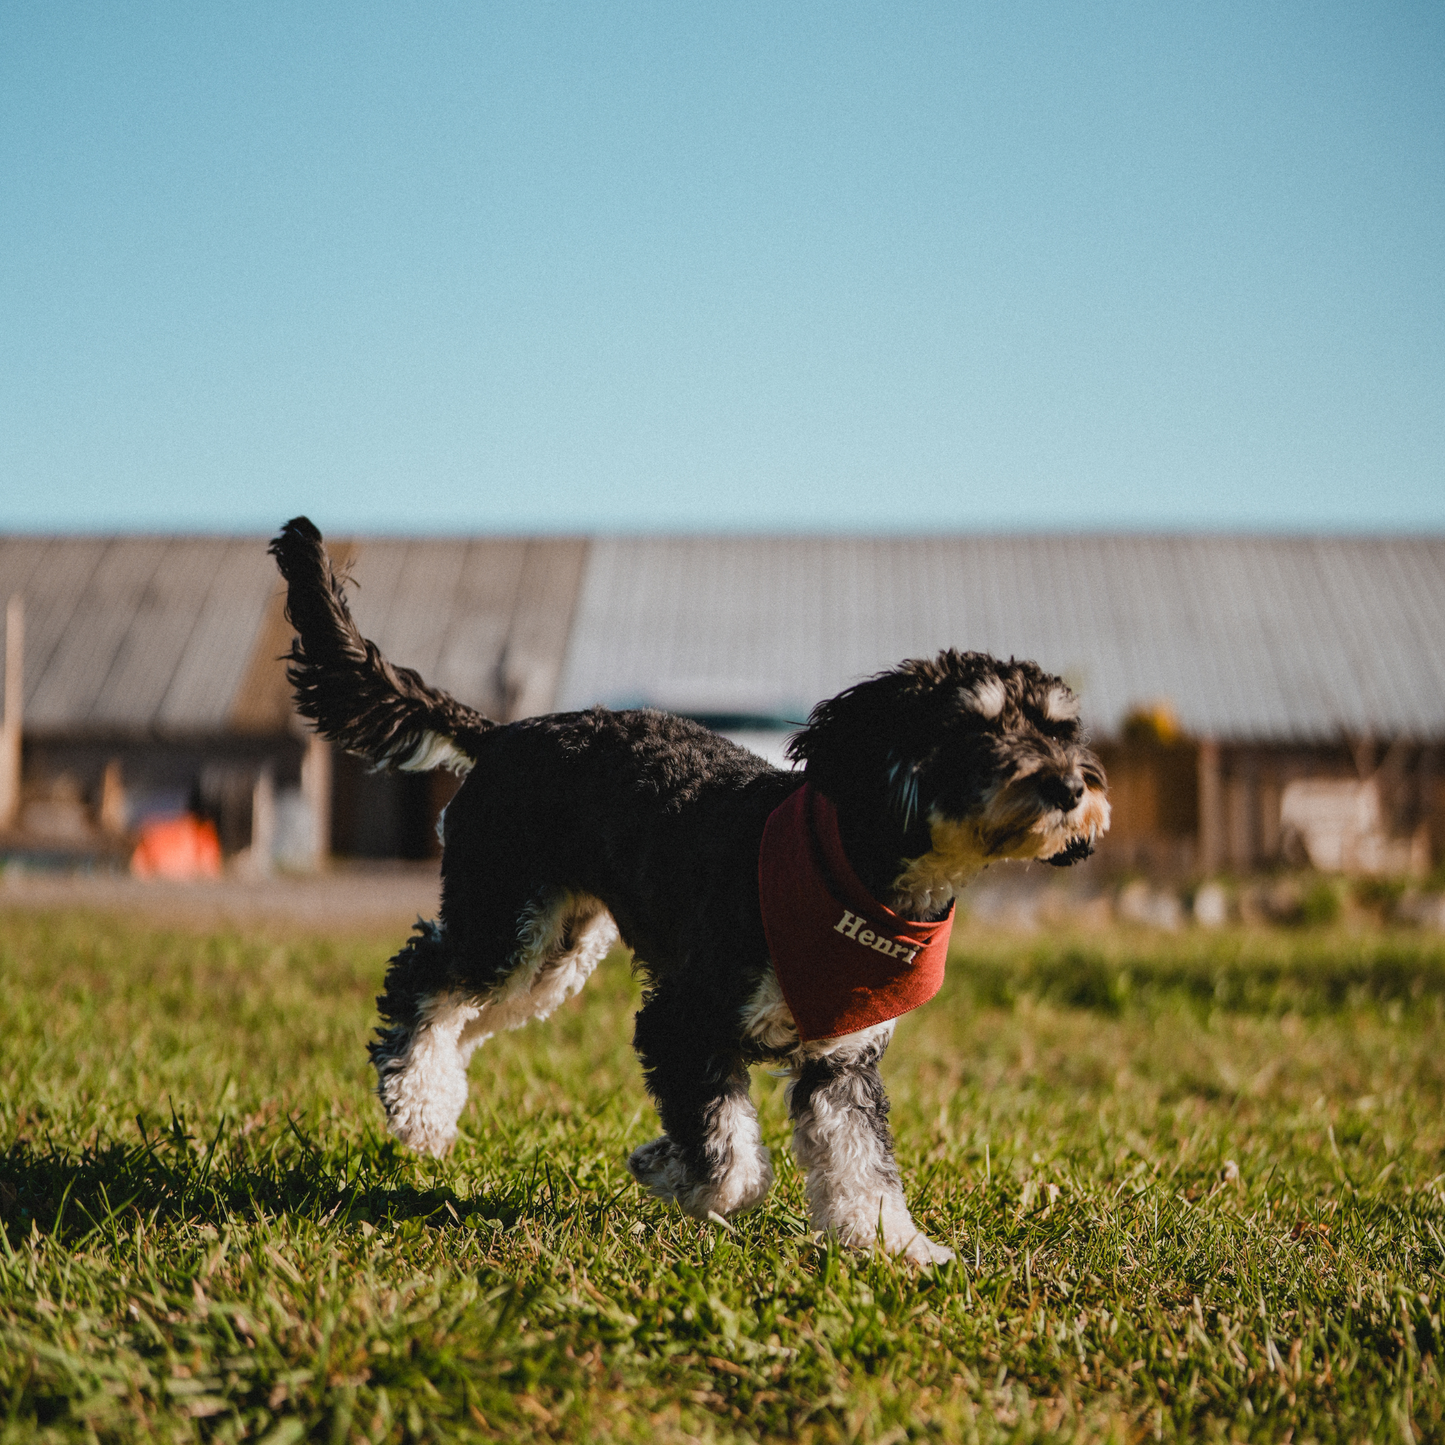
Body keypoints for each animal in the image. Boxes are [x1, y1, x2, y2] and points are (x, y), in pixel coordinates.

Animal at [268, 520, 1103, 1265]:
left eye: (1060, 729)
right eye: (974, 727)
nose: (1070, 788)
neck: (857, 870)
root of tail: (502, 733)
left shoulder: (841, 1065)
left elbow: (862, 1167)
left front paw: (896, 1248)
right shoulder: (682, 1021)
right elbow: (731, 1164)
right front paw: (663, 1165)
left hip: (554, 953)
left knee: (463, 1012)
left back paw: (440, 1086)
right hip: (504, 923)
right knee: (422, 979)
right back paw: (418, 1103)